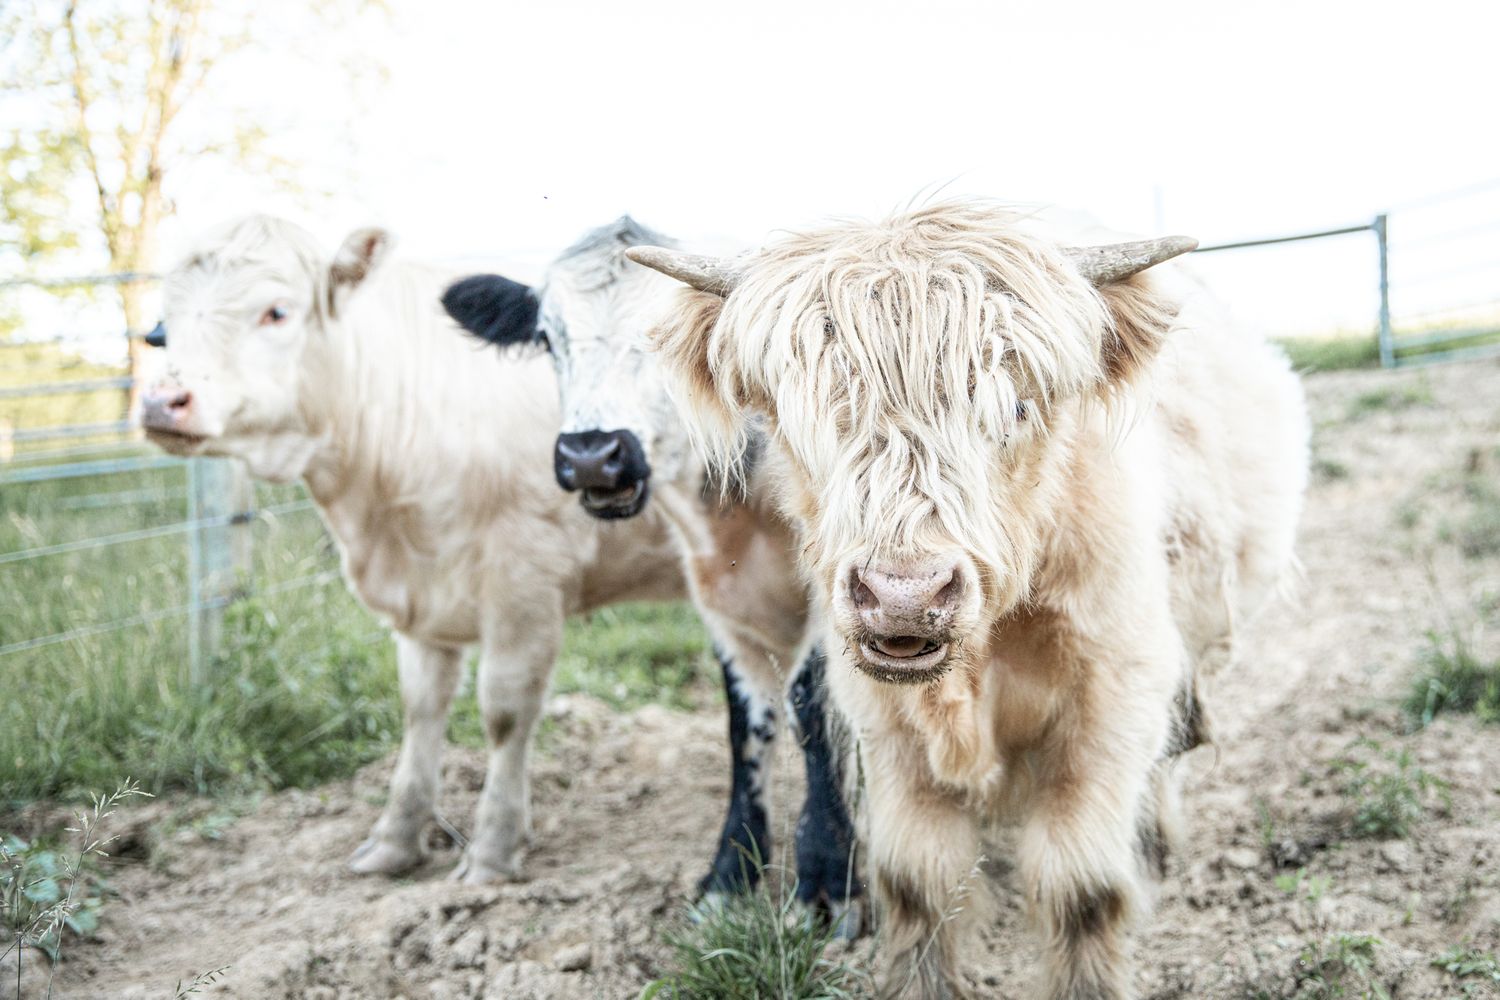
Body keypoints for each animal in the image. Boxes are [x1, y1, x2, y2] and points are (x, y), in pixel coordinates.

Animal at [137, 215, 694, 885]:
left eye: (276, 311)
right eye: (163, 324)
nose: (162, 401)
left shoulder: (525, 584)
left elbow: (505, 713)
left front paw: (492, 851)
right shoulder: (423, 601)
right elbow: (420, 710)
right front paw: (394, 841)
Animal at [441, 217, 863, 931]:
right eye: (548, 338)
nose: (591, 456)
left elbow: (814, 709)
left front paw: (830, 880)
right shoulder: (721, 607)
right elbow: (744, 726)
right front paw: (730, 875)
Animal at [628, 201, 1310, 1000]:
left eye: (1015, 406)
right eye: (796, 423)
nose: (904, 594)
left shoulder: (1114, 694)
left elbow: (1081, 884)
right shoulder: (884, 726)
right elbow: (918, 884)